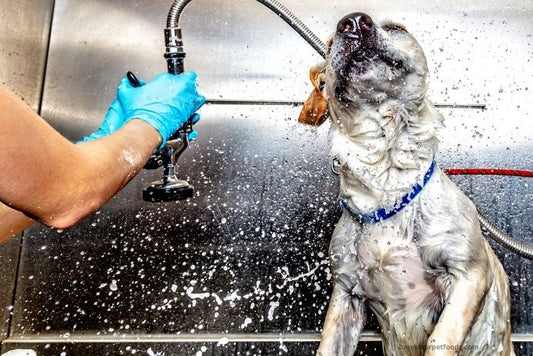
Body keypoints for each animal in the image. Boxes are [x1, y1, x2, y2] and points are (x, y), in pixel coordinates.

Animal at [298, 11, 512, 356]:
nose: (354, 21)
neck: (386, 187)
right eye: (330, 44)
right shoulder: (346, 293)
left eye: (396, 28)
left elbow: (439, 340)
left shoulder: (468, 275)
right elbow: (328, 346)